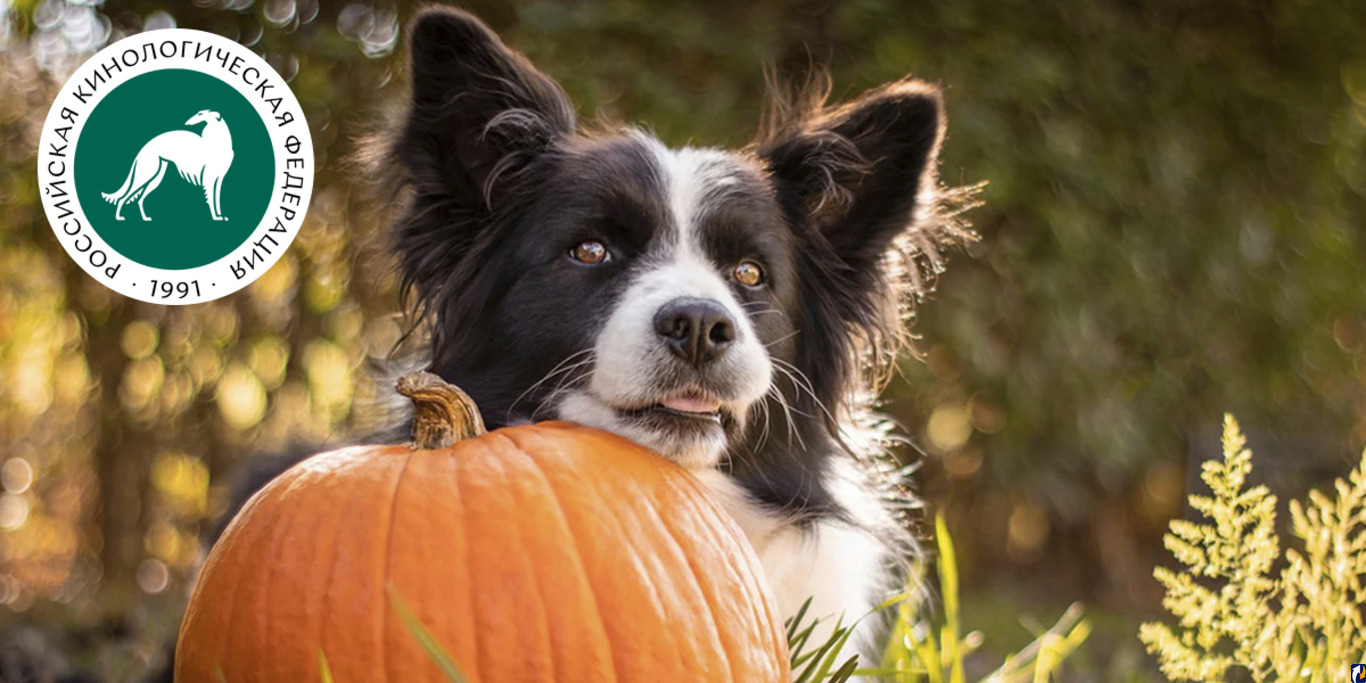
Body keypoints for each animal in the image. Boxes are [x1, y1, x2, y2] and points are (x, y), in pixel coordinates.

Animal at [103, 109, 234, 221]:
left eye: (200, 114)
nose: (187, 123)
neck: (218, 144)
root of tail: (142, 150)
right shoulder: (209, 178)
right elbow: (211, 199)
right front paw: (215, 217)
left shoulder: (219, 178)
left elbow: (217, 199)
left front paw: (220, 215)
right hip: (145, 174)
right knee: (123, 198)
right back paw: (118, 217)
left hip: (156, 177)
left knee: (139, 199)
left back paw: (145, 218)